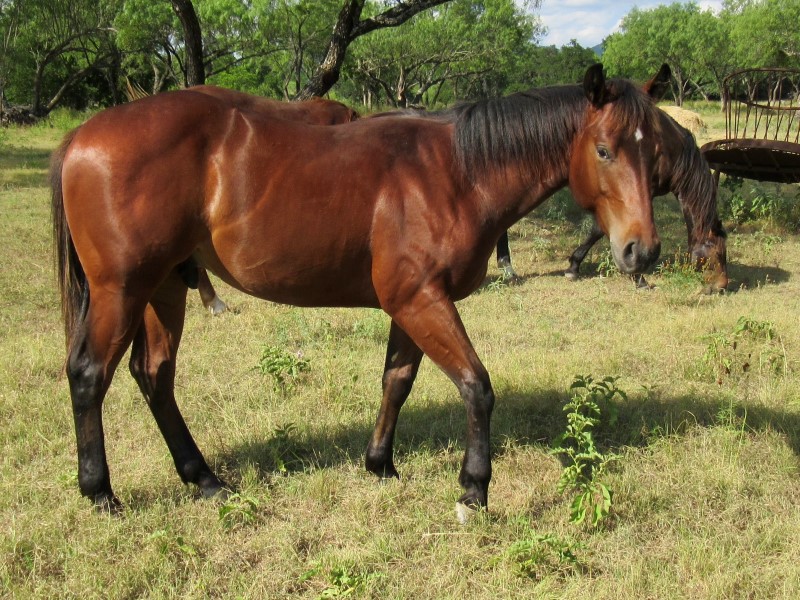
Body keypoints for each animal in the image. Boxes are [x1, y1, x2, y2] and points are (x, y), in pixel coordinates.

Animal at [496, 109, 728, 292]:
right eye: (718, 253)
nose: (722, 286)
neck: (667, 151)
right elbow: (604, 230)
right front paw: (638, 277)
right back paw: (507, 267)